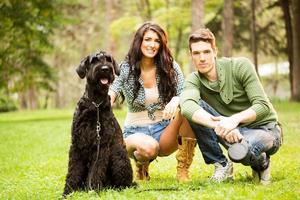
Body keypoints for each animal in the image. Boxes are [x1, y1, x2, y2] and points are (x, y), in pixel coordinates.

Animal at [63, 51, 135, 197]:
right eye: (94, 60)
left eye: (108, 59)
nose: (105, 69)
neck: (95, 103)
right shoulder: (76, 144)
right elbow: (73, 169)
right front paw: (68, 191)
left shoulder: (101, 146)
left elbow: (96, 169)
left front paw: (93, 190)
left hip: (119, 158)